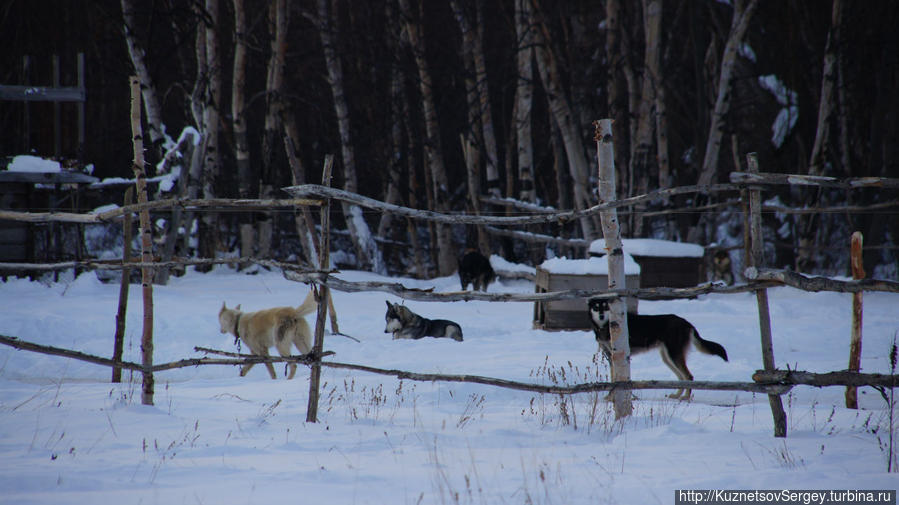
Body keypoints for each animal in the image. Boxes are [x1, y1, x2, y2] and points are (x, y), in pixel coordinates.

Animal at [588, 298, 728, 400]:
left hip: (674, 354)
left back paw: (685, 397)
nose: (601, 316)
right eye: (596, 307)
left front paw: (612, 397)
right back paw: (677, 395)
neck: (606, 326)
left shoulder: (618, 356)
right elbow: (613, 380)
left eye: (606, 306)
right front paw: (611, 397)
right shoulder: (612, 358)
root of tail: (687, 323)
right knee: (681, 377)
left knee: (689, 376)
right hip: (667, 358)